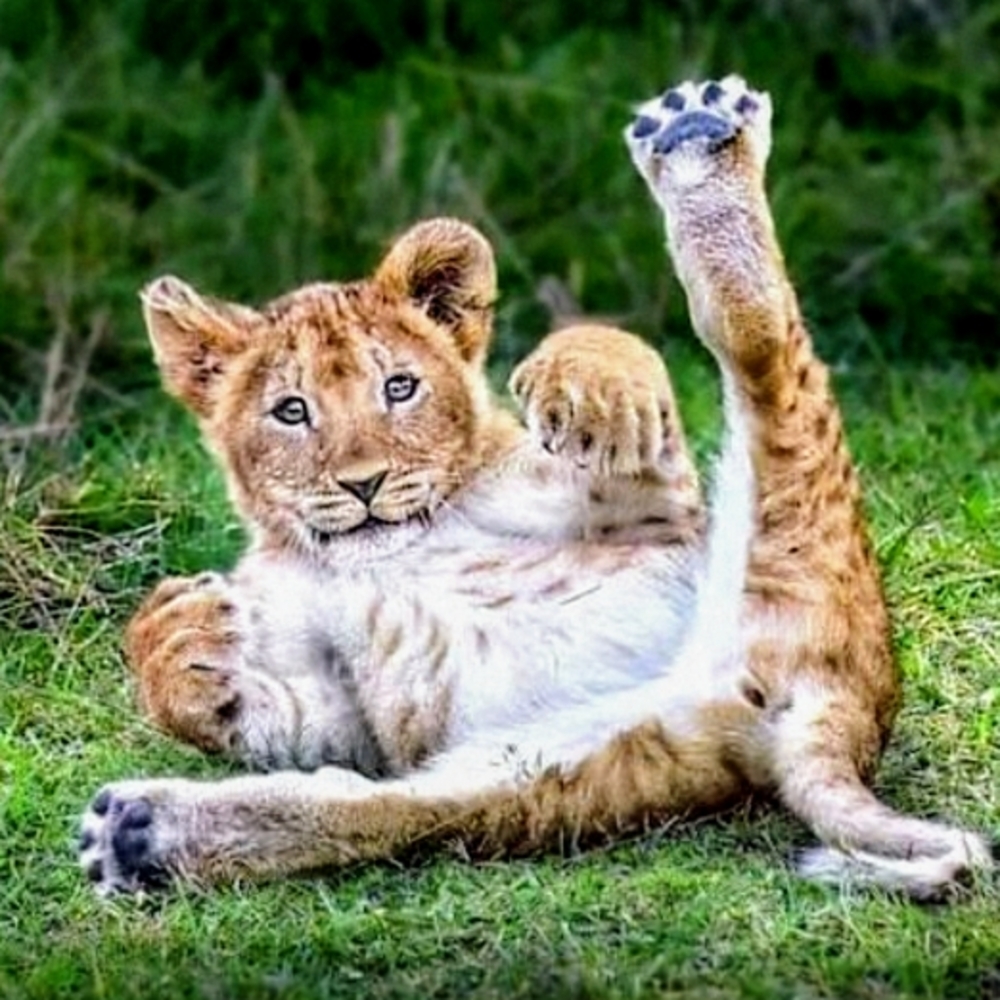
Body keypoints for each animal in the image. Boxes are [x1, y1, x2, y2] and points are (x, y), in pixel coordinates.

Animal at [79, 75, 992, 899]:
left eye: (400, 387)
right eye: (291, 411)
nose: (365, 483)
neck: (379, 549)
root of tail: (834, 706)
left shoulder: (653, 510)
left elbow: (617, 373)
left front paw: (589, 380)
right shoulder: (349, 717)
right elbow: (275, 721)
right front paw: (177, 634)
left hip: (785, 514)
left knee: (760, 342)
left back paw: (697, 139)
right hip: (547, 769)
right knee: (380, 812)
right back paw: (142, 837)